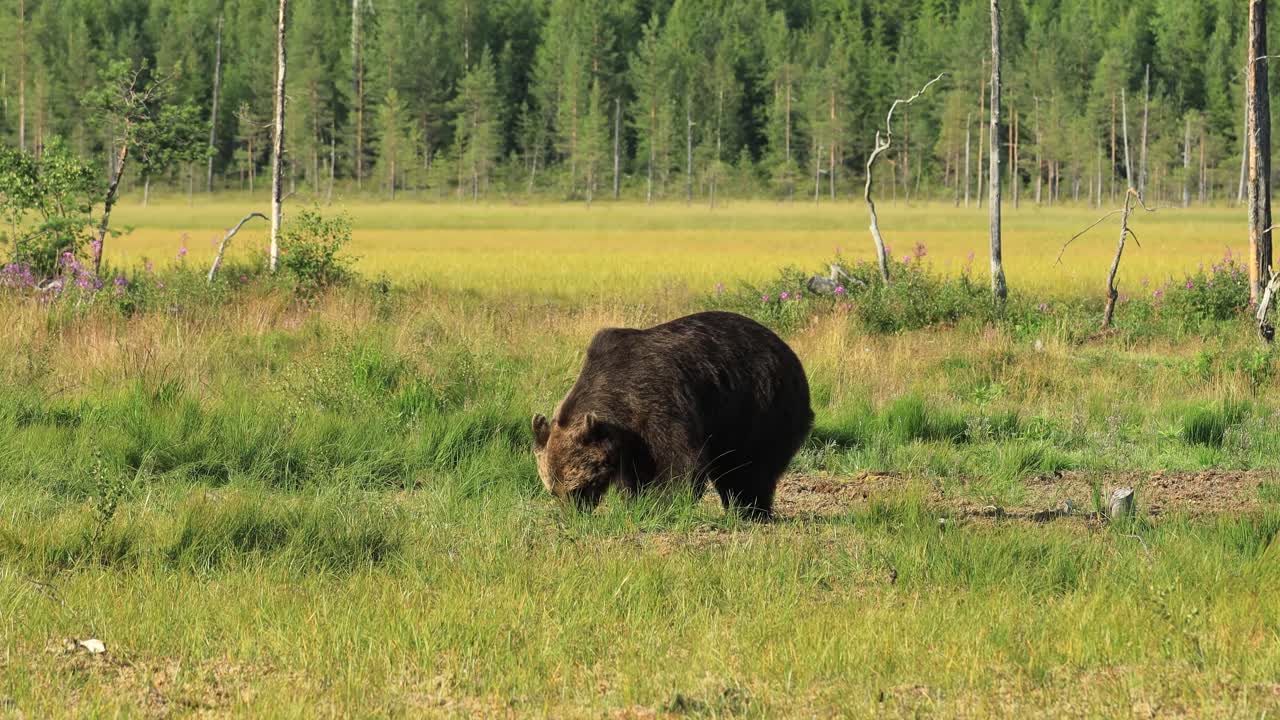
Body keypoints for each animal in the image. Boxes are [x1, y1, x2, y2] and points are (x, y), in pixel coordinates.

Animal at [532, 310, 813, 519]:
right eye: (554, 491)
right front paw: (636, 501)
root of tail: (787, 350)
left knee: (750, 467)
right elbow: (634, 472)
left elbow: (682, 461)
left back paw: (749, 510)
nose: (573, 515)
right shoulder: (629, 437)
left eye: (577, 488)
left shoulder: (660, 401)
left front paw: (663, 504)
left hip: (761, 404)